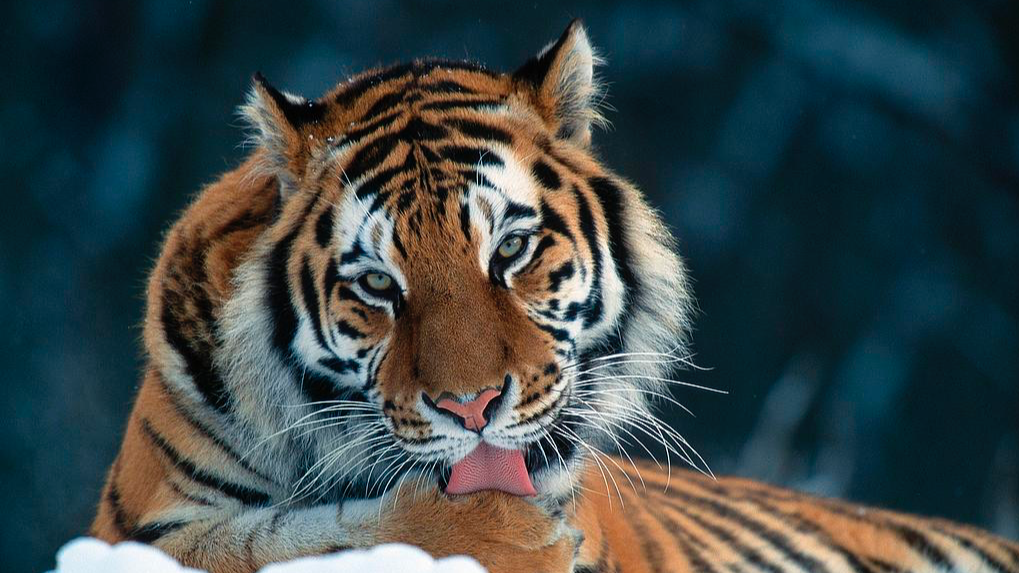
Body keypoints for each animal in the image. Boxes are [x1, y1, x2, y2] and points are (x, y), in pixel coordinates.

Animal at [91, 19, 1019, 573]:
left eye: (510, 249)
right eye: (377, 285)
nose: (470, 408)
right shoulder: (136, 526)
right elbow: (277, 537)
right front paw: (502, 534)